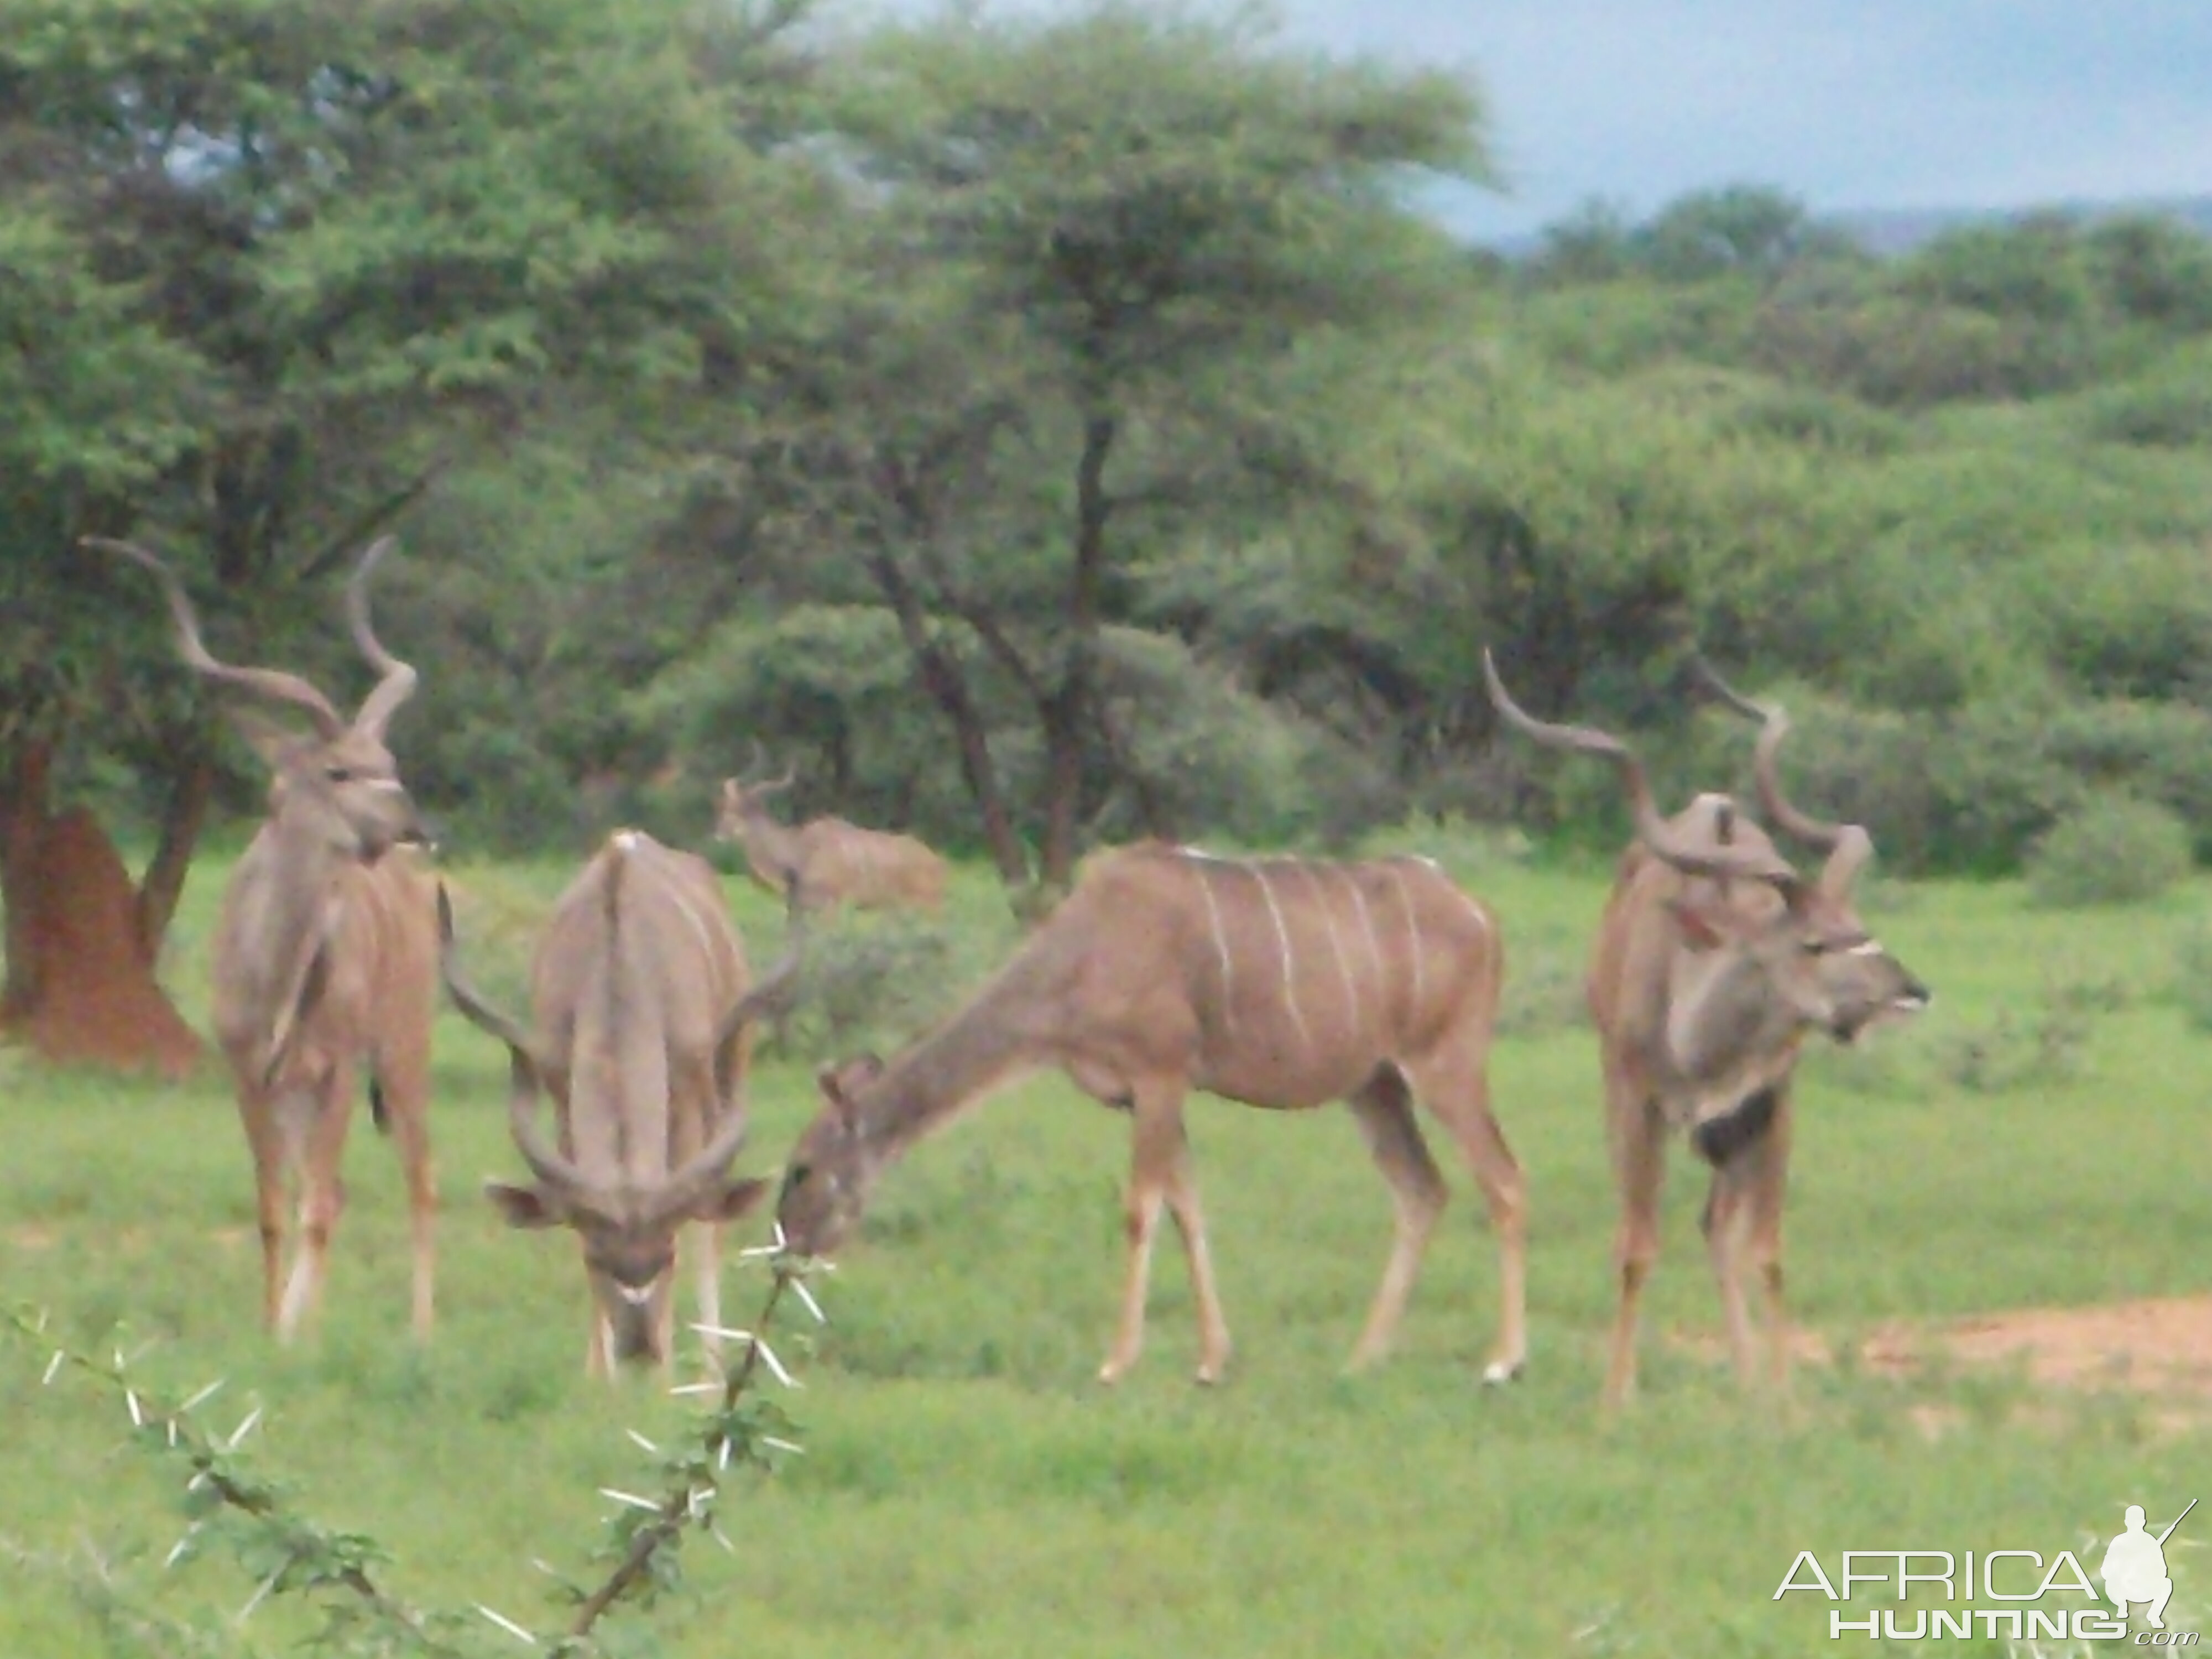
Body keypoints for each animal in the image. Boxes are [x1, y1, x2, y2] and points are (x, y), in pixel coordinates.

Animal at [96, 540, 440, 1345]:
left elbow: (314, 1208)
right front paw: (271, 1326)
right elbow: (273, 1210)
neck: (276, 973)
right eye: (337, 770)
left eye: (389, 766)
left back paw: (421, 1330)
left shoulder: (337, 1070)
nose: (412, 825)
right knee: (335, 1189)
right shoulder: (249, 1075)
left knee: (417, 1179)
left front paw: (293, 1333)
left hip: (401, 1054)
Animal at [436, 832, 810, 1380]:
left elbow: (698, 1223)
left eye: (665, 1253)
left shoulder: (687, 1098)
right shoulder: (559, 1092)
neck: (620, 960)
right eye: (596, 1257)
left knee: (711, 1224)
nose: (640, 1348)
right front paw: (600, 1376)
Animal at [712, 748, 947, 916]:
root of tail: (937, 862)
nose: (719, 835)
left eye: (740, 810)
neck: (802, 851)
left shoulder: (832, 906)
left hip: (927, 907)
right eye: (724, 806)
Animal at [774, 845, 1522, 1389]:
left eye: (802, 1169)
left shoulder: (1160, 1074)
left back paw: (1501, 1362)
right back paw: (1364, 1357)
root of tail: (1483, 917)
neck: (1080, 957)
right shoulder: (1152, 1095)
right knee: (1422, 1189)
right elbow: (1188, 1206)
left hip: (1445, 1065)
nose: (787, 1252)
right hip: (1374, 1085)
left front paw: (1115, 1362)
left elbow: (1141, 1209)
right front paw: (1212, 1362)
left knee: (1503, 1180)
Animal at [1486, 655, 1938, 1407]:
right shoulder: (1636, 1104)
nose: (1910, 991)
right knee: (1656, 1229)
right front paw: (1616, 1399)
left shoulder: (1768, 1108)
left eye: (1862, 927)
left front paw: (1781, 1399)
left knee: (1718, 1230)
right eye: (1813, 943)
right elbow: (1636, 1248)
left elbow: (1765, 1252)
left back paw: (1748, 1377)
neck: (1700, 1043)